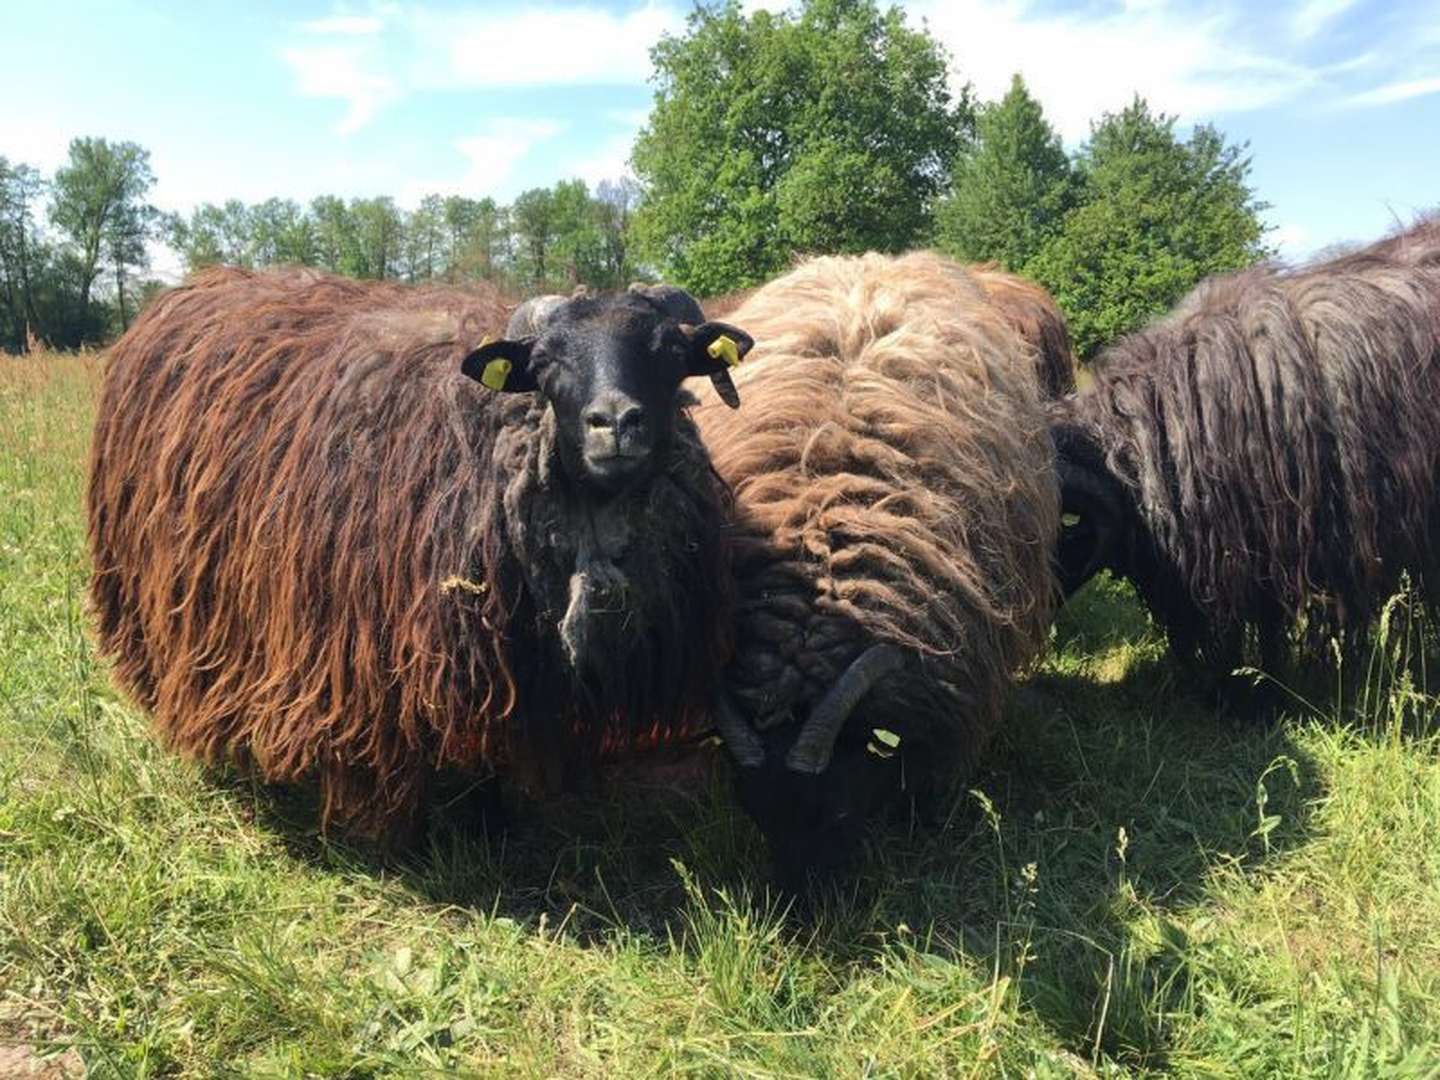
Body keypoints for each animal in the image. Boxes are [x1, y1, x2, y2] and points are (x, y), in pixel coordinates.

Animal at [81, 266, 754, 840]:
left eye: (670, 355)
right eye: (544, 363)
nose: (615, 423)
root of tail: (192, 287)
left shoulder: (510, 659)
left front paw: (493, 824)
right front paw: (394, 835)